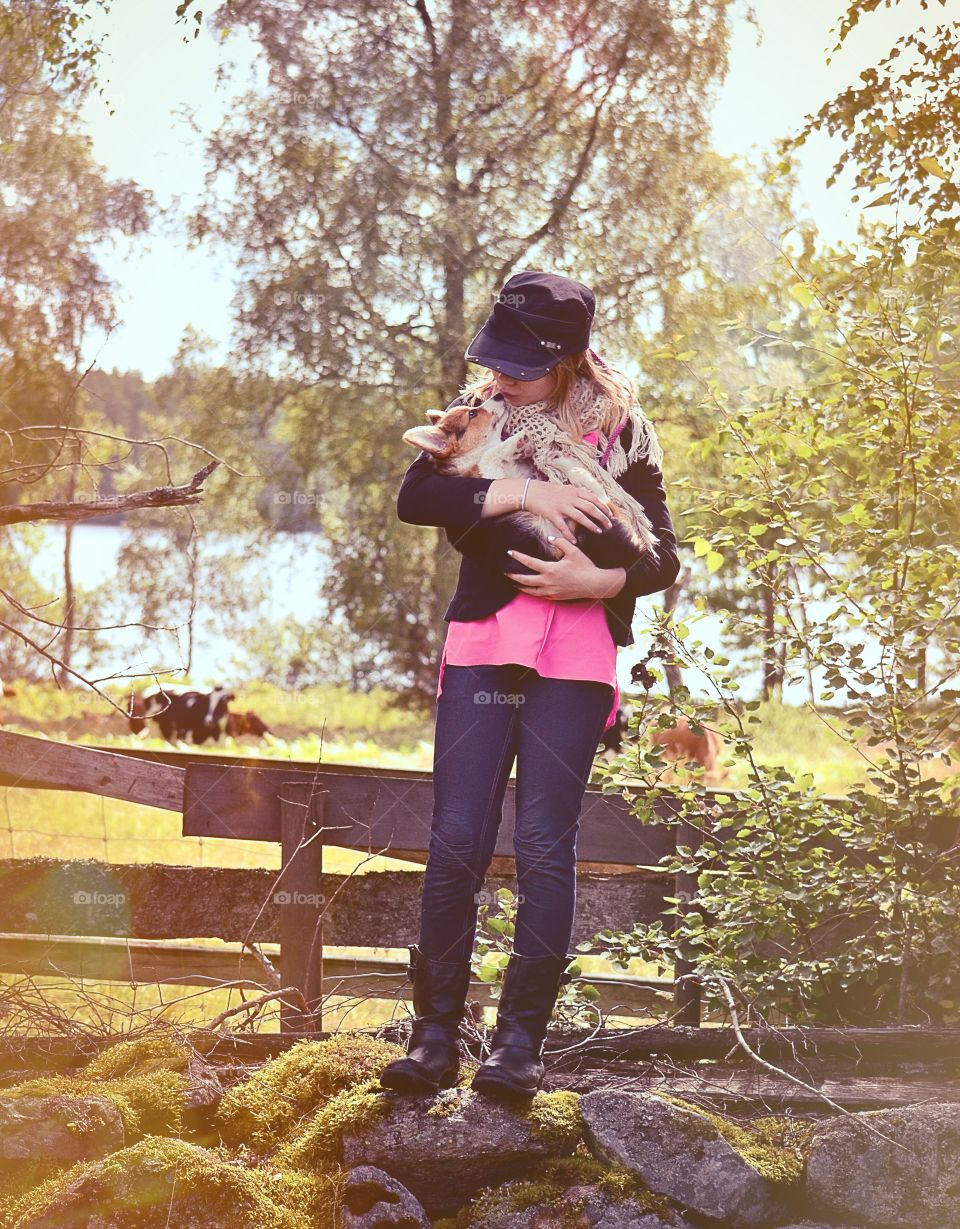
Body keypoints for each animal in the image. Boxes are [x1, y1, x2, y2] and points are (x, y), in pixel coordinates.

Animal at [400, 390, 653, 572]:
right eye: (472, 414)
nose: (499, 395)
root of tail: (633, 552)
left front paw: (524, 448)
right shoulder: (489, 476)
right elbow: (492, 455)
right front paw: (517, 440)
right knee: (596, 492)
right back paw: (569, 466)